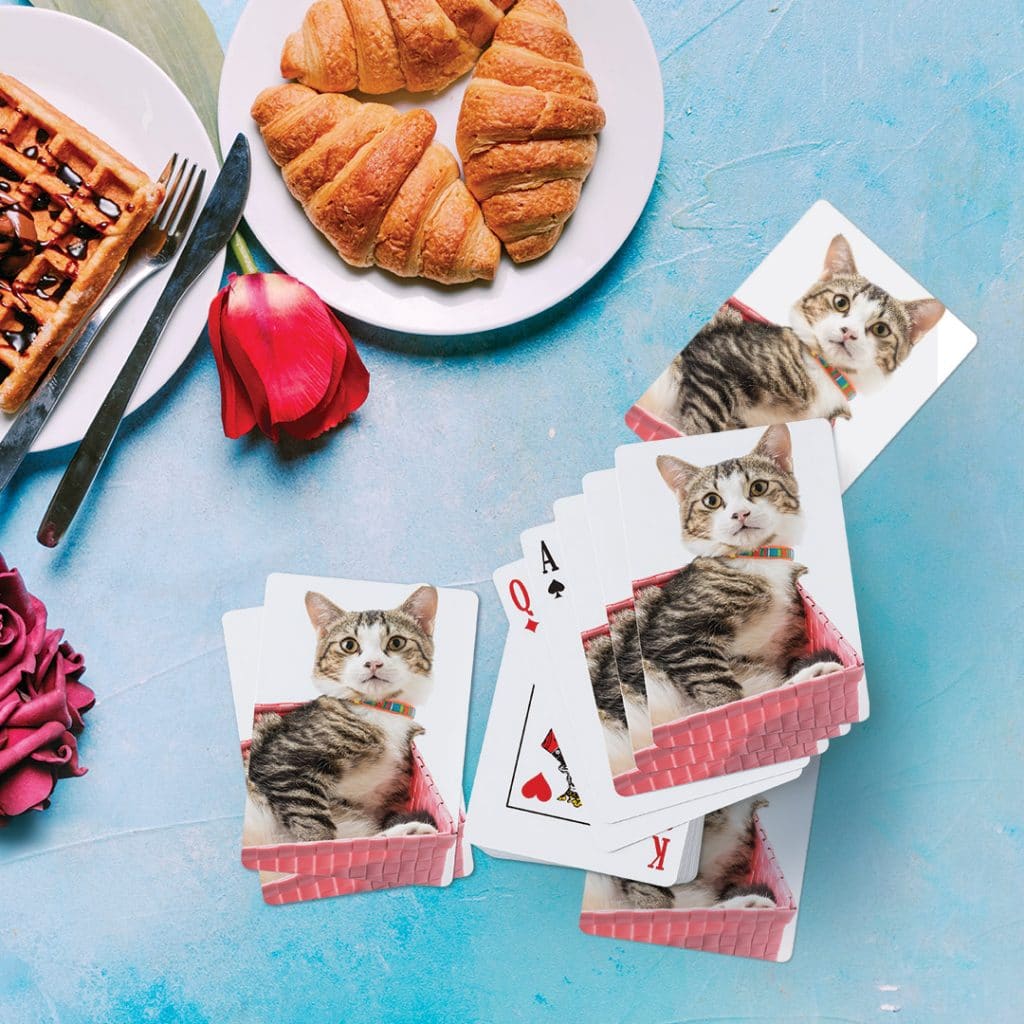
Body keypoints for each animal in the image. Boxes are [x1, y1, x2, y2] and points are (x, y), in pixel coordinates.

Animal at [247, 589, 444, 843]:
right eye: (349, 645)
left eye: (396, 642)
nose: (373, 663)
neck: (379, 710)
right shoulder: (282, 762)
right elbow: (315, 827)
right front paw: (316, 844)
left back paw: (411, 830)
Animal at [638, 234, 942, 432]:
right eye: (841, 302)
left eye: (880, 329)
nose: (849, 332)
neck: (826, 377)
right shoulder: (716, 363)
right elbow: (702, 427)